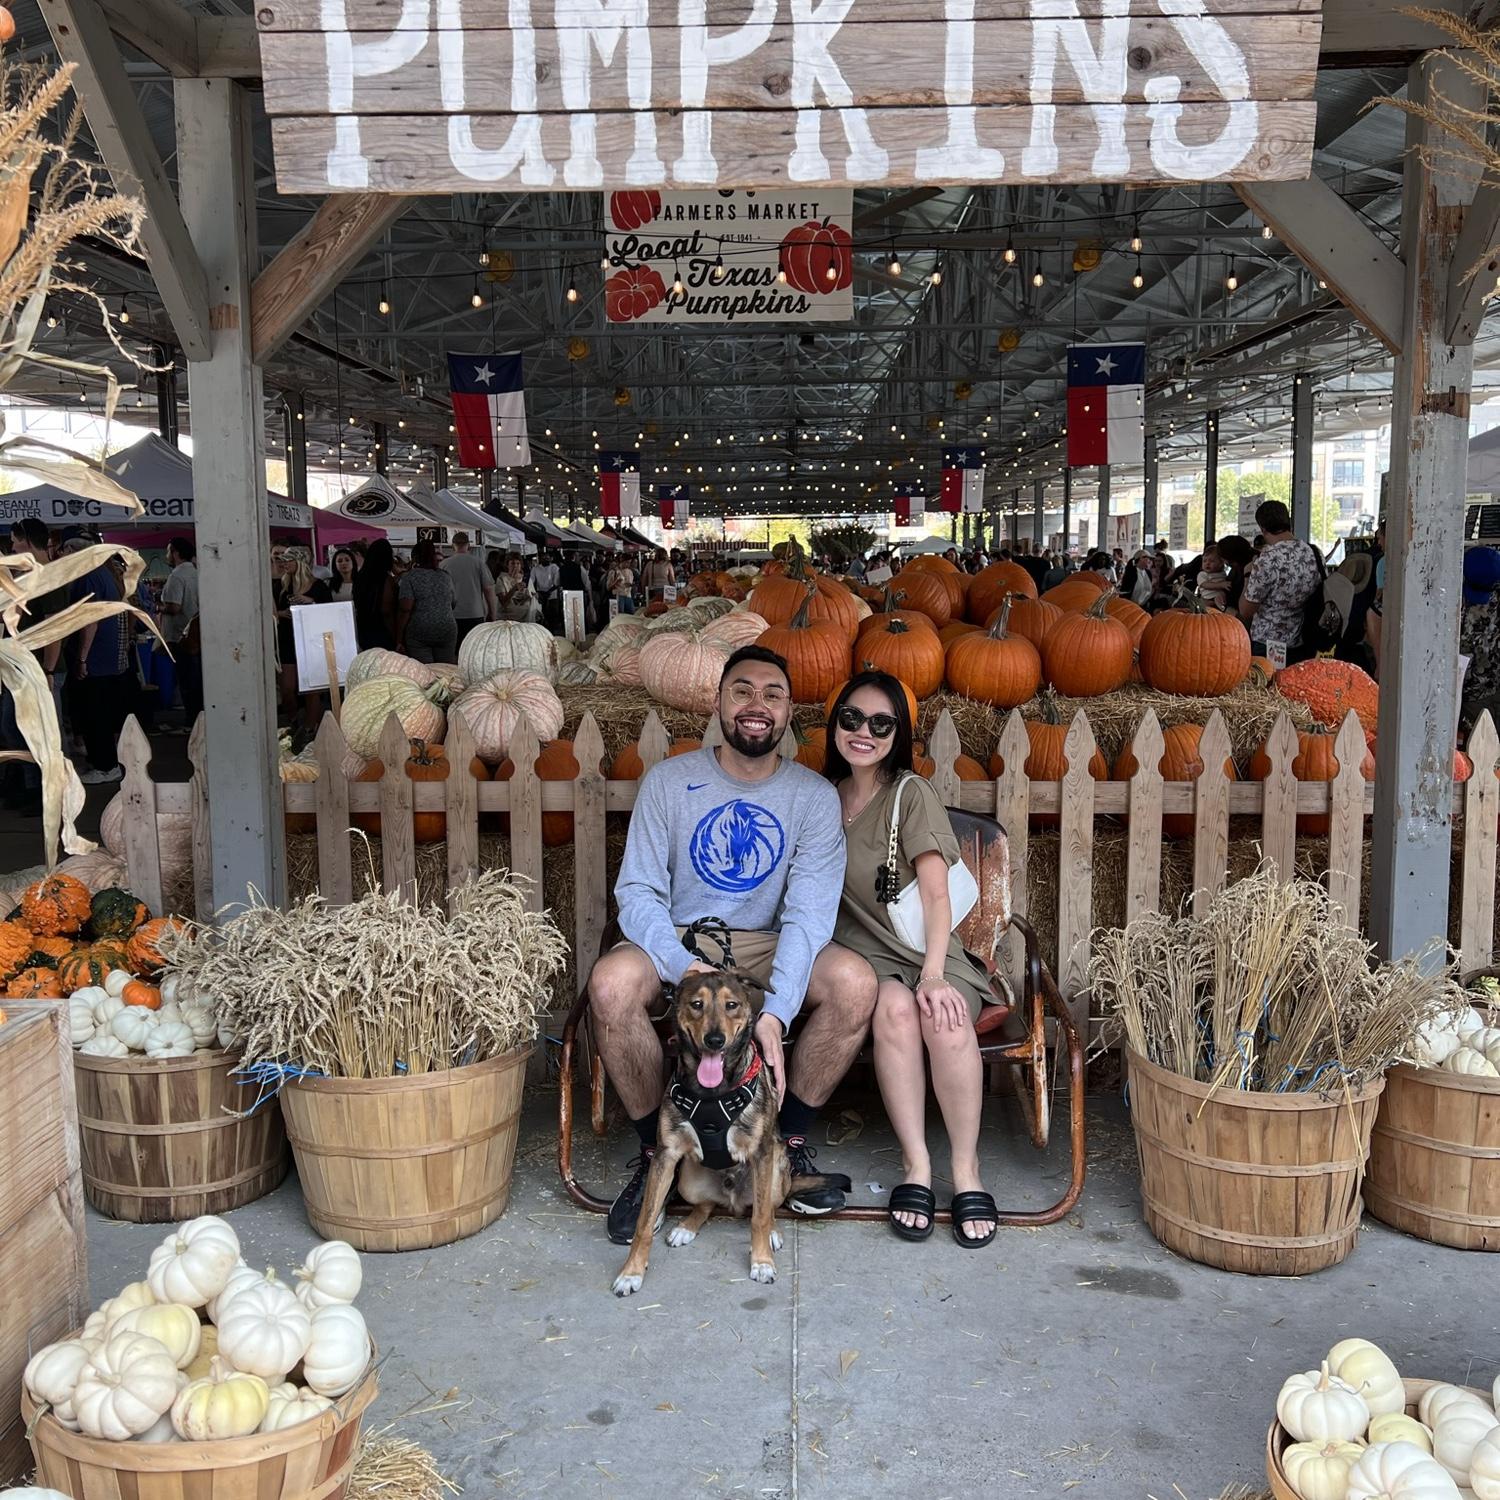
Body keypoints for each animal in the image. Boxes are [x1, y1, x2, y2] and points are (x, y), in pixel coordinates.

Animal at [611, 970, 840, 1297]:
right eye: (697, 1004)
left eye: (731, 1005)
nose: (715, 1040)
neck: (712, 1092)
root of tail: (732, 1197)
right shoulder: (665, 1156)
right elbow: (645, 1220)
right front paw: (631, 1272)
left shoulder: (762, 1153)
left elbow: (759, 1217)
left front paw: (762, 1262)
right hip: (687, 1180)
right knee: (707, 1204)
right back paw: (685, 1228)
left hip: (775, 1170)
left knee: (768, 1207)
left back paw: (772, 1232)